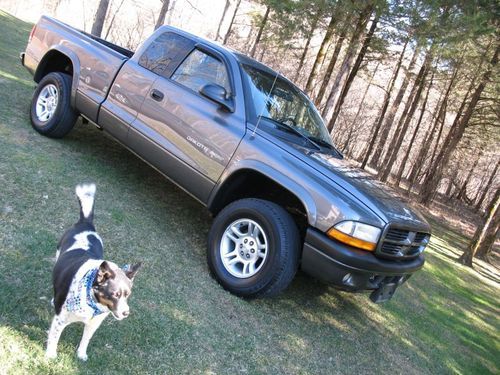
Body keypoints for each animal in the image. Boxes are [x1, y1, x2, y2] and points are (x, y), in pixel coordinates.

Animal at [47, 185, 142, 362]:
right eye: (115, 294)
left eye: (128, 295)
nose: (126, 313)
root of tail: (86, 223)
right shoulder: (59, 320)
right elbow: (54, 338)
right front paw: (50, 356)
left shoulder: (94, 323)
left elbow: (86, 339)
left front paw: (81, 354)